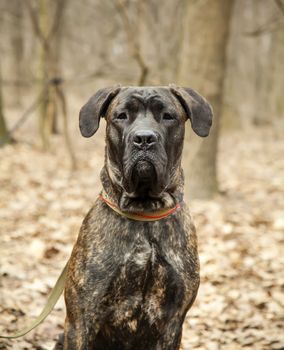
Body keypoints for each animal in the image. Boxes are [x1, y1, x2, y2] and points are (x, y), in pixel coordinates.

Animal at [58, 85, 212, 350]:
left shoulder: (172, 322)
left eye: (168, 116)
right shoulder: (81, 318)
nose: (144, 138)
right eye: (121, 116)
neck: (145, 211)